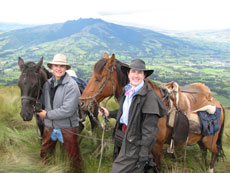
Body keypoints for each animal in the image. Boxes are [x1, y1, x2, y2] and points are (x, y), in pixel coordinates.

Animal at [80, 53, 225, 172]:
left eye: (98, 78)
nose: (81, 103)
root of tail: (219, 104)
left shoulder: (157, 147)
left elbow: (157, 167)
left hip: (210, 141)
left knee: (214, 152)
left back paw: (209, 168)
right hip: (201, 139)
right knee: (204, 152)